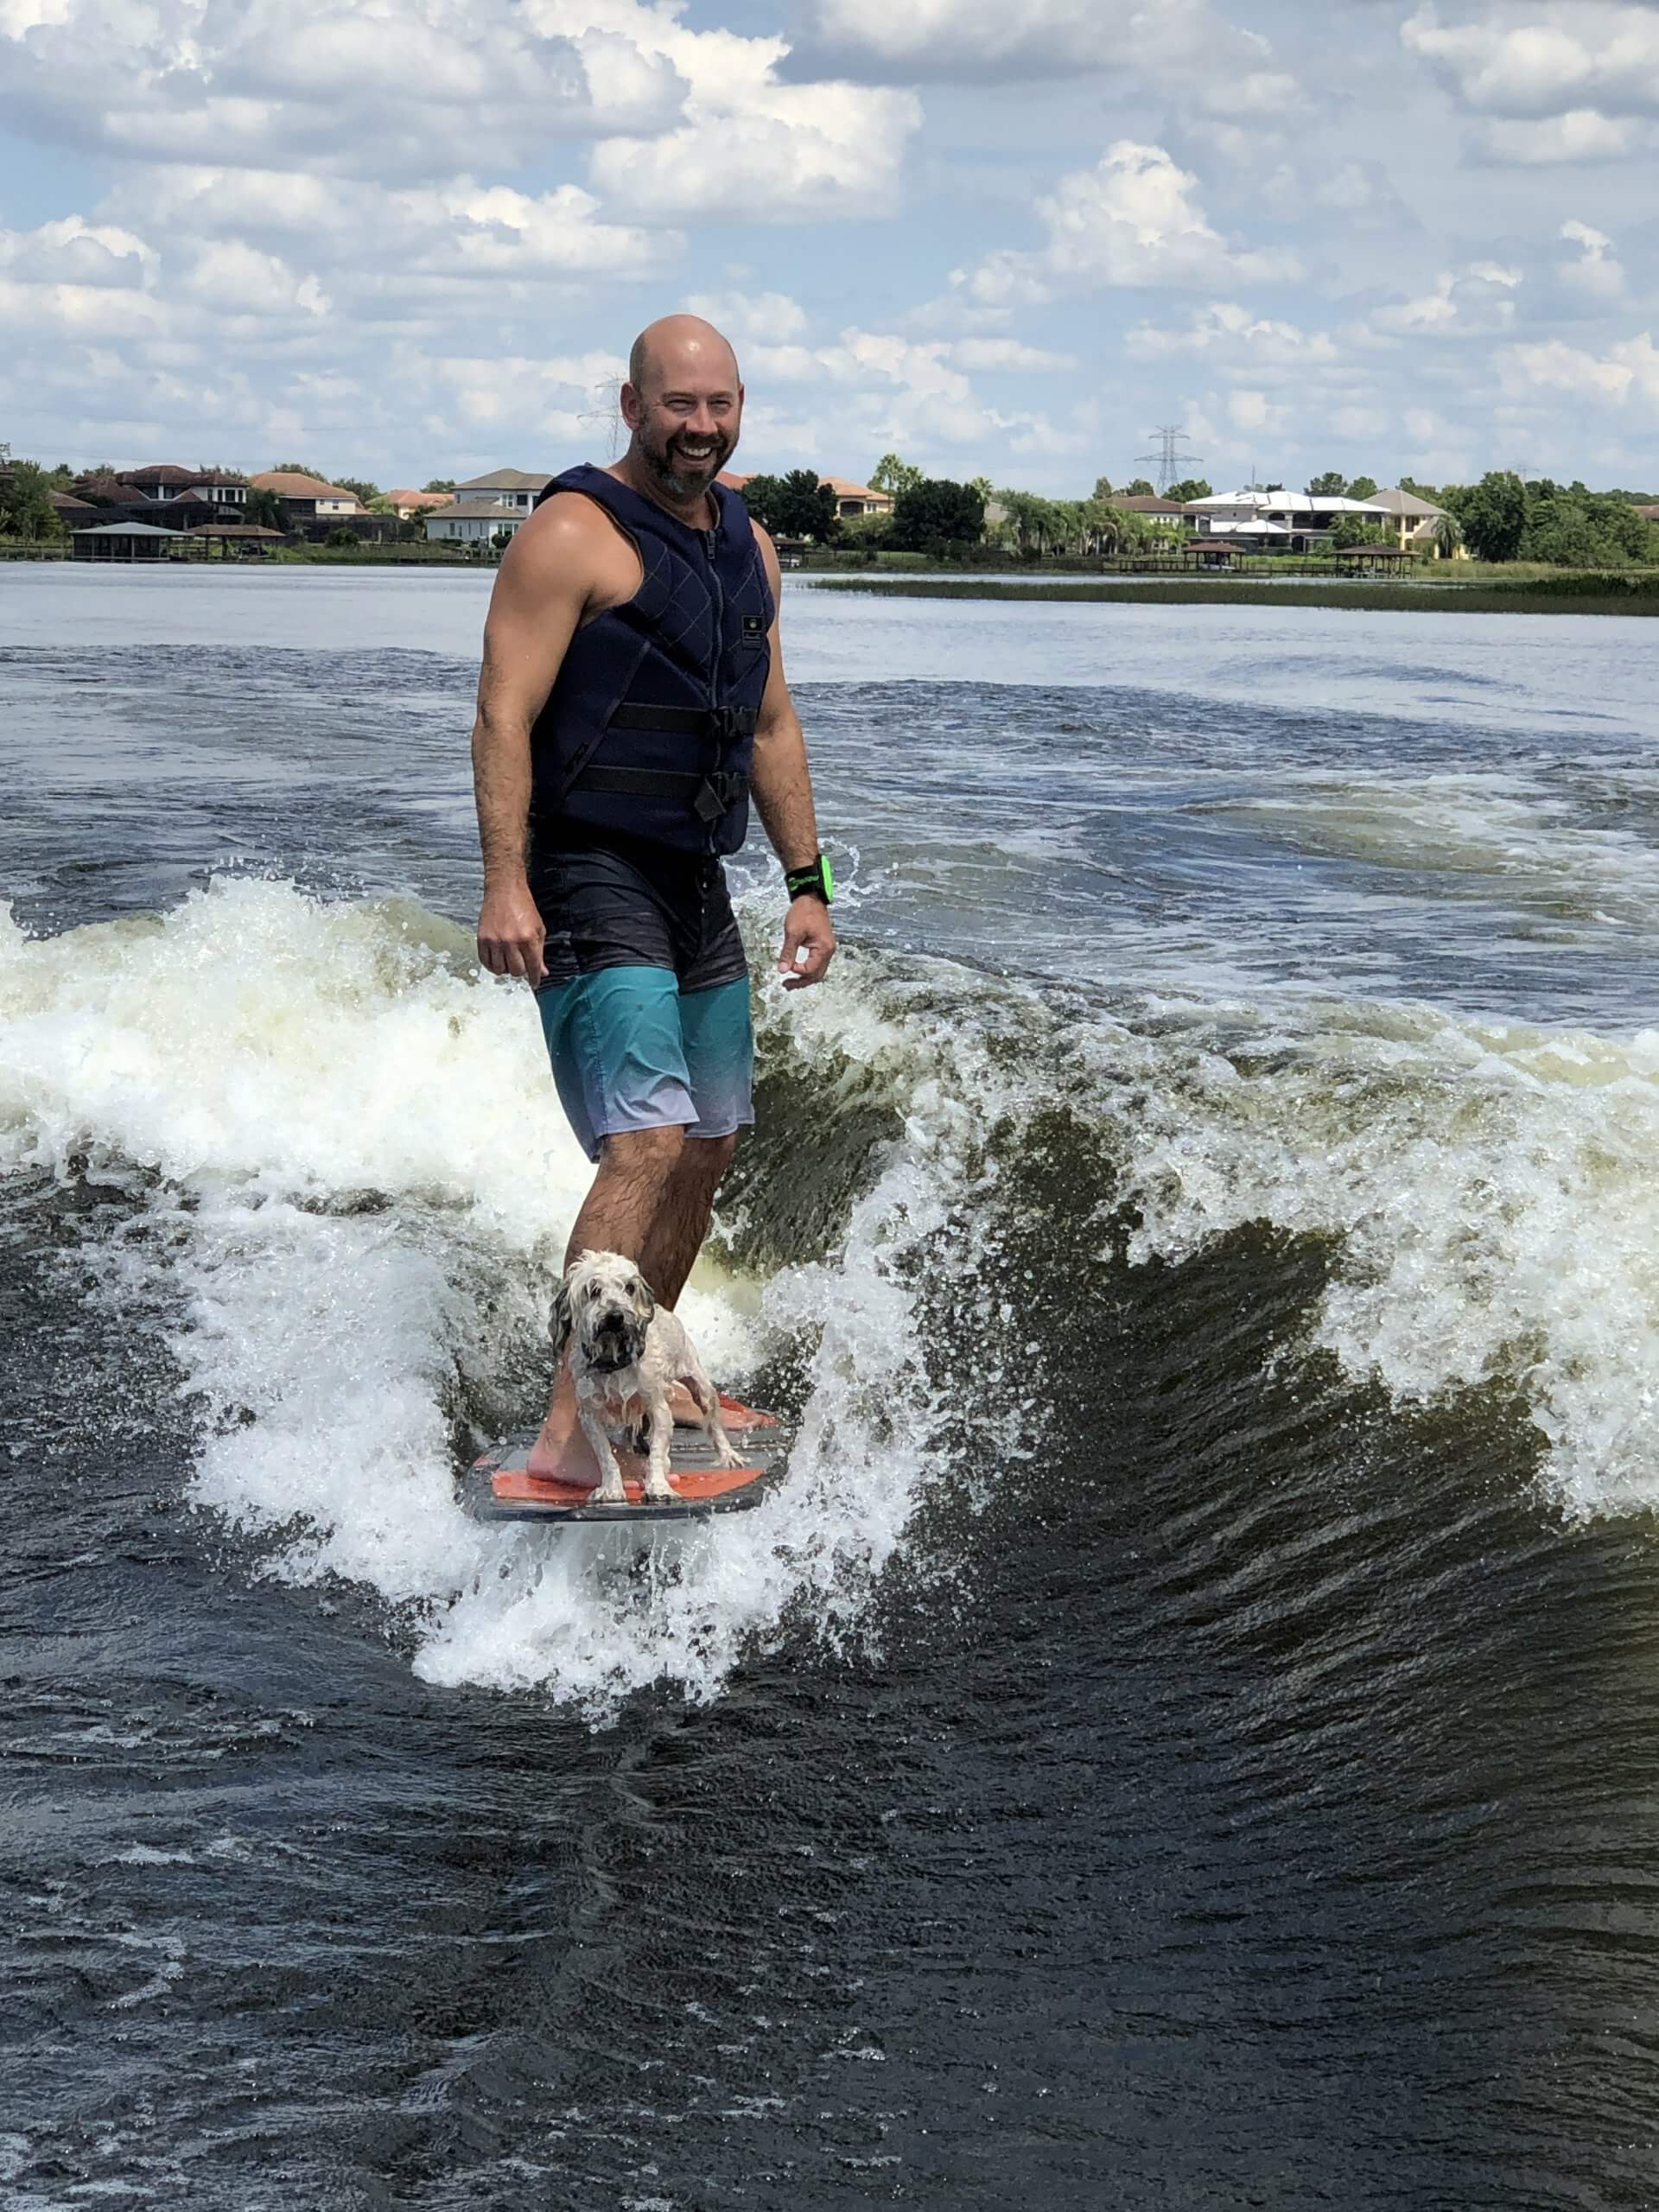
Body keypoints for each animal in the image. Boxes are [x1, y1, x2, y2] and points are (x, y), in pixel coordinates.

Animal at [555, 1247, 743, 1503]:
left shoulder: (658, 1408)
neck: (616, 1362)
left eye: (629, 1288)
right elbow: (606, 1456)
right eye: (593, 1290)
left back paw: (728, 1455)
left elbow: (656, 1452)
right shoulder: (590, 1415)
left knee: (712, 1422)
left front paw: (659, 1486)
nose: (616, 1316)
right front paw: (612, 1489)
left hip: (699, 1384)